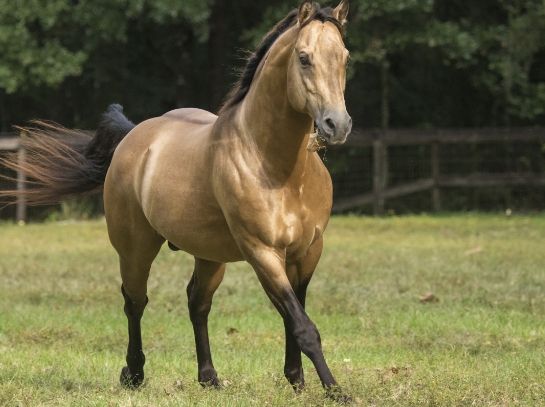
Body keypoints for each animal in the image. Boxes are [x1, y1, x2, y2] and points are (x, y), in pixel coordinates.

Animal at [0, 0, 352, 402]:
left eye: (345, 57)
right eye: (304, 58)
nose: (337, 125)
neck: (278, 167)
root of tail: (133, 136)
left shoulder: (307, 251)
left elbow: (295, 317)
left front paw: (297, 381)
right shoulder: (262, 253)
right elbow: (303, 325)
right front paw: (335, 391)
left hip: (209, 255)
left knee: (197, 303)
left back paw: (209, 377)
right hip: (136, 249)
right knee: (135, 301)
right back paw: (134, 373)